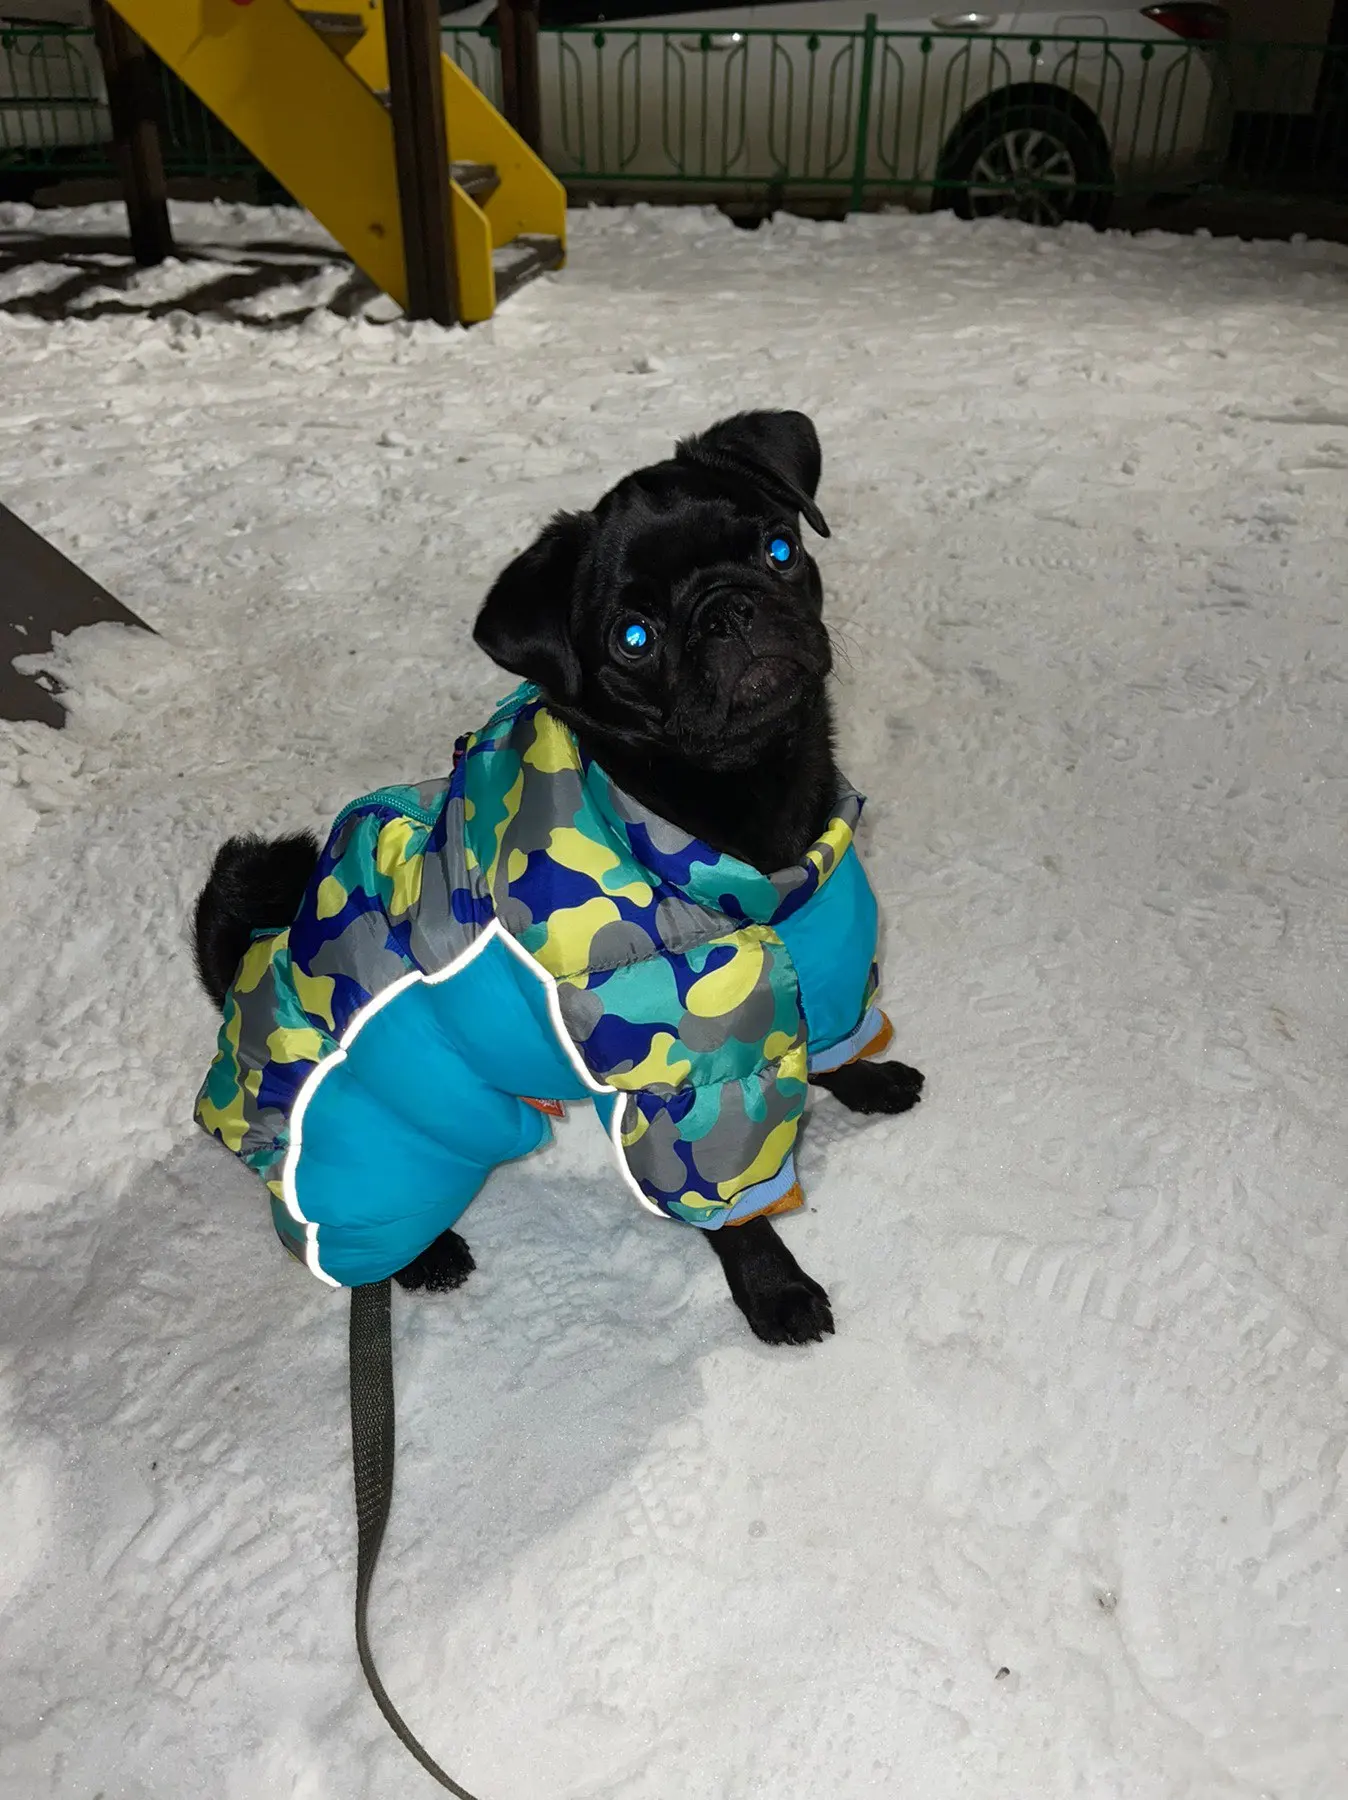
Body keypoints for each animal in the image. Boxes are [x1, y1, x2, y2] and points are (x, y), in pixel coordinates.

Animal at [193, 410, 923, 1346]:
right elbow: (735, 1208)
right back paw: (421, 1258)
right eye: (633, 638)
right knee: (330, 1223)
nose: (729, 609)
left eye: (779, 549)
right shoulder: (685, 1087)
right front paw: (775, 1288)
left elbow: (834, 1041)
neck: (750, 813)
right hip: (387, 1143)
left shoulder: (825, 961)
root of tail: (243, 968)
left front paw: (868, 1078)